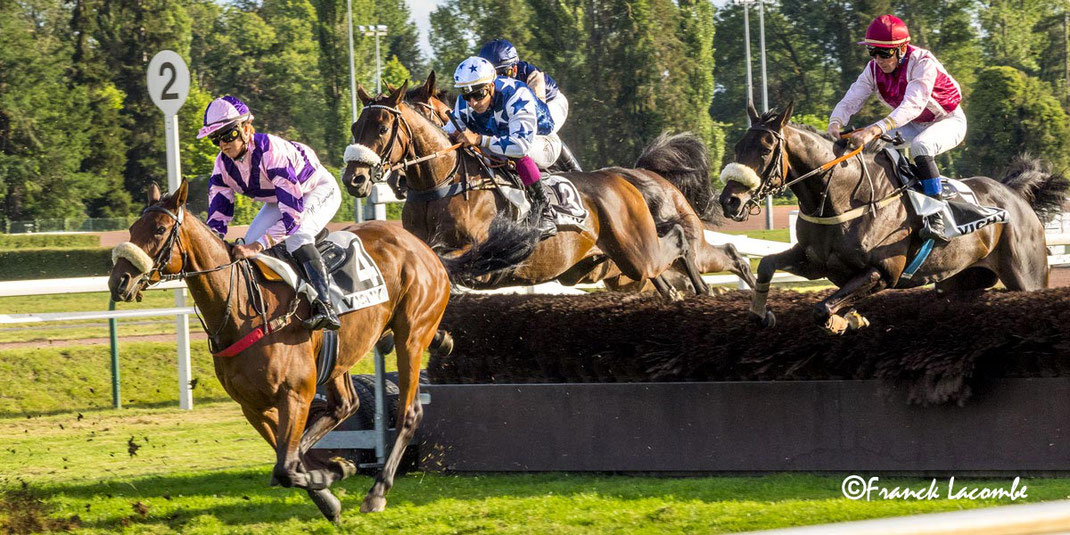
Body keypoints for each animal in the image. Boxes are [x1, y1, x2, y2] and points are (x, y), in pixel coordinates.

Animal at [111, 181, 451, 520]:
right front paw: (331, 482)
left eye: (159, 229)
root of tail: (421, 246)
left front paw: (331, 475)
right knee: (344, 406)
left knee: (409, 412)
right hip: (340, 356)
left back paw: (378, 491)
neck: (242, 307)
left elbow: (286, 466)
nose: (119, 281)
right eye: (132, 228)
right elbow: (284, 459)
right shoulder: (253, 406)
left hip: (411, 336)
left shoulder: (295, 394)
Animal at [714, 102, 1065, 331]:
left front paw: (843, 320)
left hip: (1027, 278)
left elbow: (823, 307)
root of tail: (1014, 195)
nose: (730, 201)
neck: (843, 199)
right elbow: (768, 264)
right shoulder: (816, 263)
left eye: (764, 149)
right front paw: (761, 314)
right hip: (959, 279)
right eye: (737, 146)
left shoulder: (883, 272)